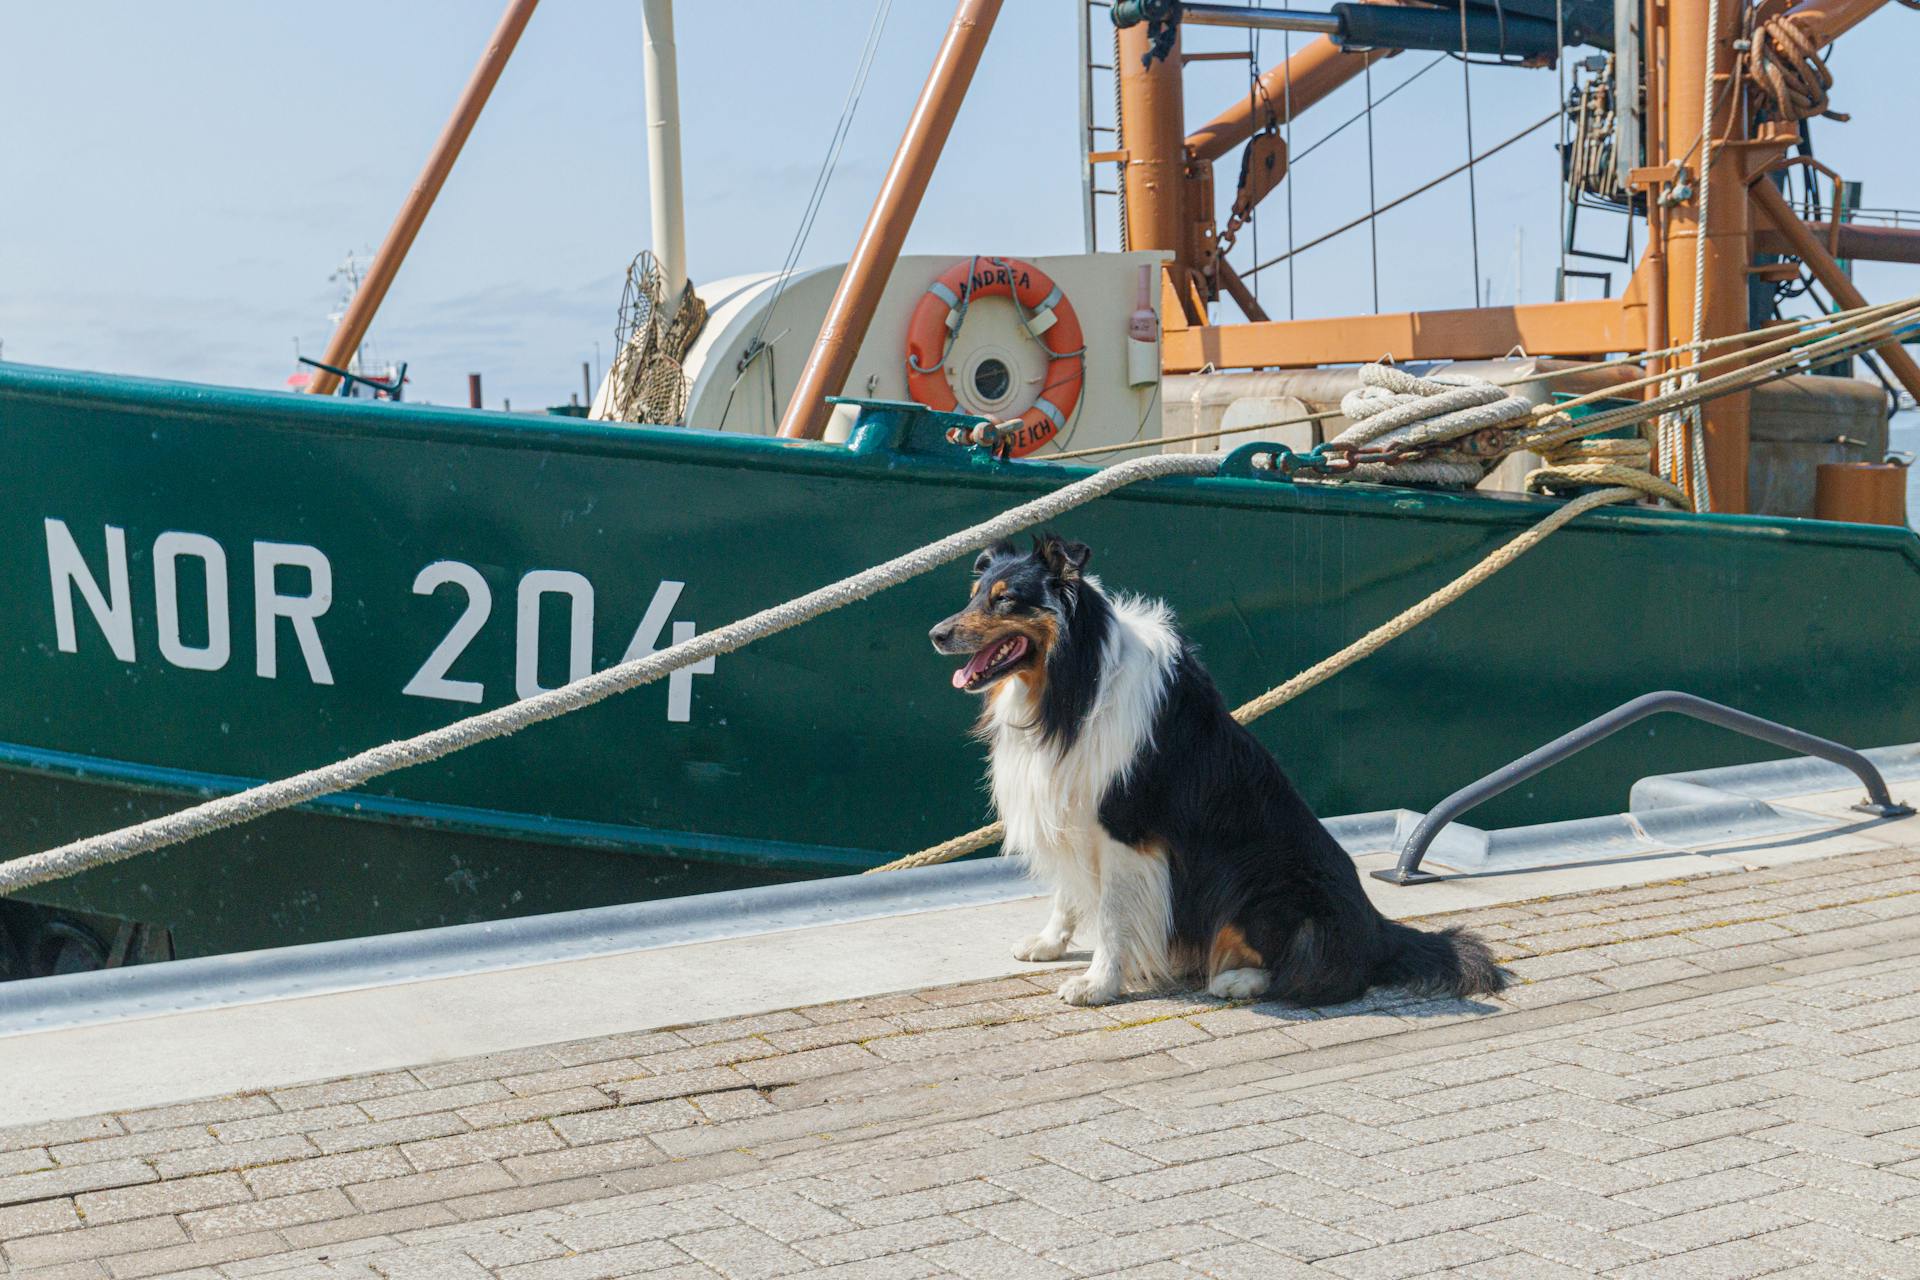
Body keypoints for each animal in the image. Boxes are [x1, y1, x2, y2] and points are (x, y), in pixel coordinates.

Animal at [929, 533, 1512, 1013]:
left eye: (1006, 599)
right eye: (975, 593)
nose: (935, 634)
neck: (1074, 680)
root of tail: (1378, 932)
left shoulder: (1126, 829)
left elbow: (1113, 915)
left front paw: (1098, 984)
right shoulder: (1072, 802)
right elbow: (1067, 895)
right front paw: (1049, 944)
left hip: (1260, 881)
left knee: (1313, 974)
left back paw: (1236, 980)